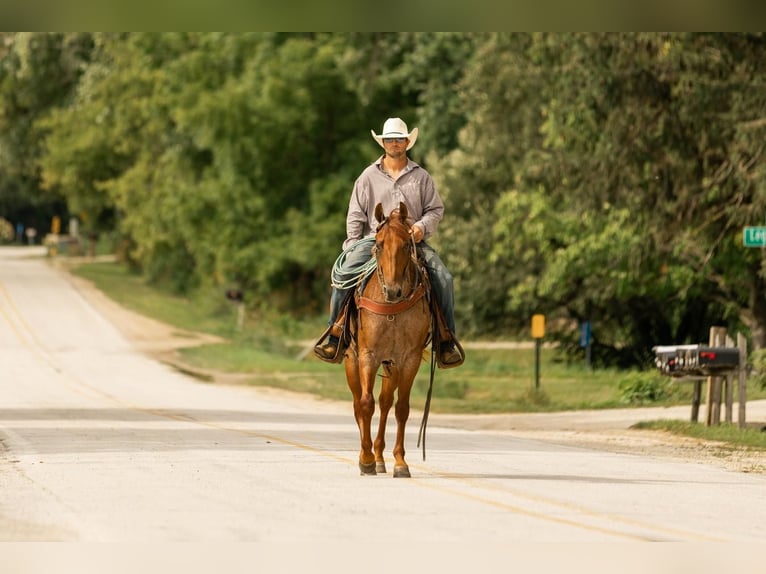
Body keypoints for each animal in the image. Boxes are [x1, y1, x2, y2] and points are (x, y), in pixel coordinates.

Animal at [346, 200, 436, 480]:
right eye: (378, 243)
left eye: (407, 244)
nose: (393, 291)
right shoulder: (367, 355)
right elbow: (366, 404)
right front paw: (364, 460)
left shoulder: (408, 360)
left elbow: (402, 408)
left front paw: (399, 462)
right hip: (352, 360)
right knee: (358, 403)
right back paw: (368, 455)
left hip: (391, 365)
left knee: (386, 403)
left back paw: (379, 457)